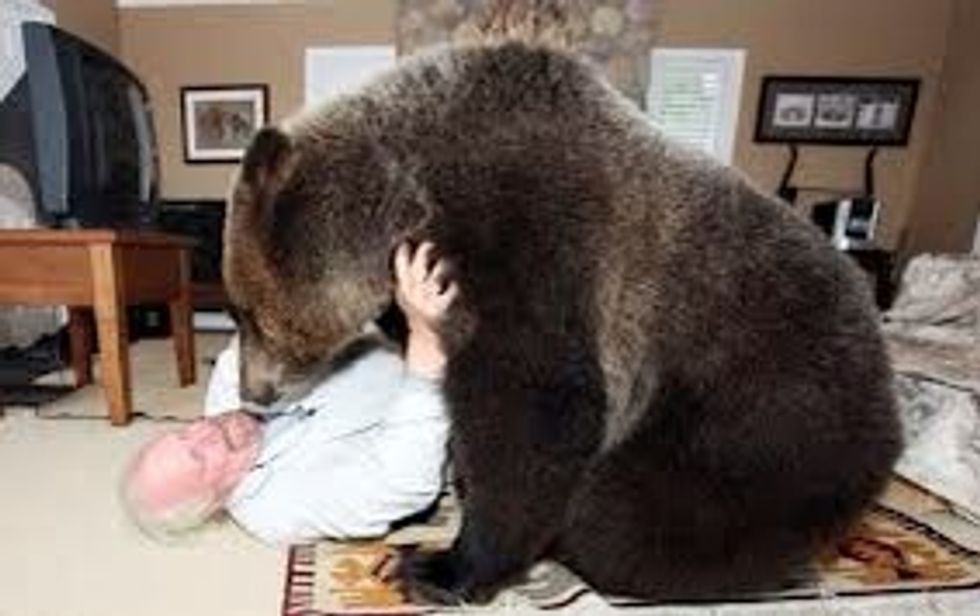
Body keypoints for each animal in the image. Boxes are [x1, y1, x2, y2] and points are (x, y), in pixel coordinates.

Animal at [221, 19, 902, 605]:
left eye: (247, 313)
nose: (255, 392)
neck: (411, 197)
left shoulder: (529, 244)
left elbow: (538, 408)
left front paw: (441, 566)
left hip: (757, 408)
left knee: (627, 512)